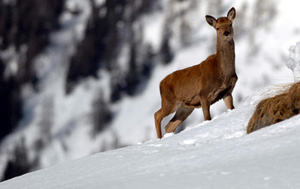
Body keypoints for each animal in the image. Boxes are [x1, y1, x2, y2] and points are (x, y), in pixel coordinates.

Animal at [155, 7, 237, 139]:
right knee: (157, 115)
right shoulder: (203, 93)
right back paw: (159, 138)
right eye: (217, 28)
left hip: (184, 108)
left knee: (169, 125)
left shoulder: (227, 91)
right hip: (169, 102)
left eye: (230, 23)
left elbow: (231, 108)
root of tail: (160, 84)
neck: (223, 73)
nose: (226, 33)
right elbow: (207, 118)